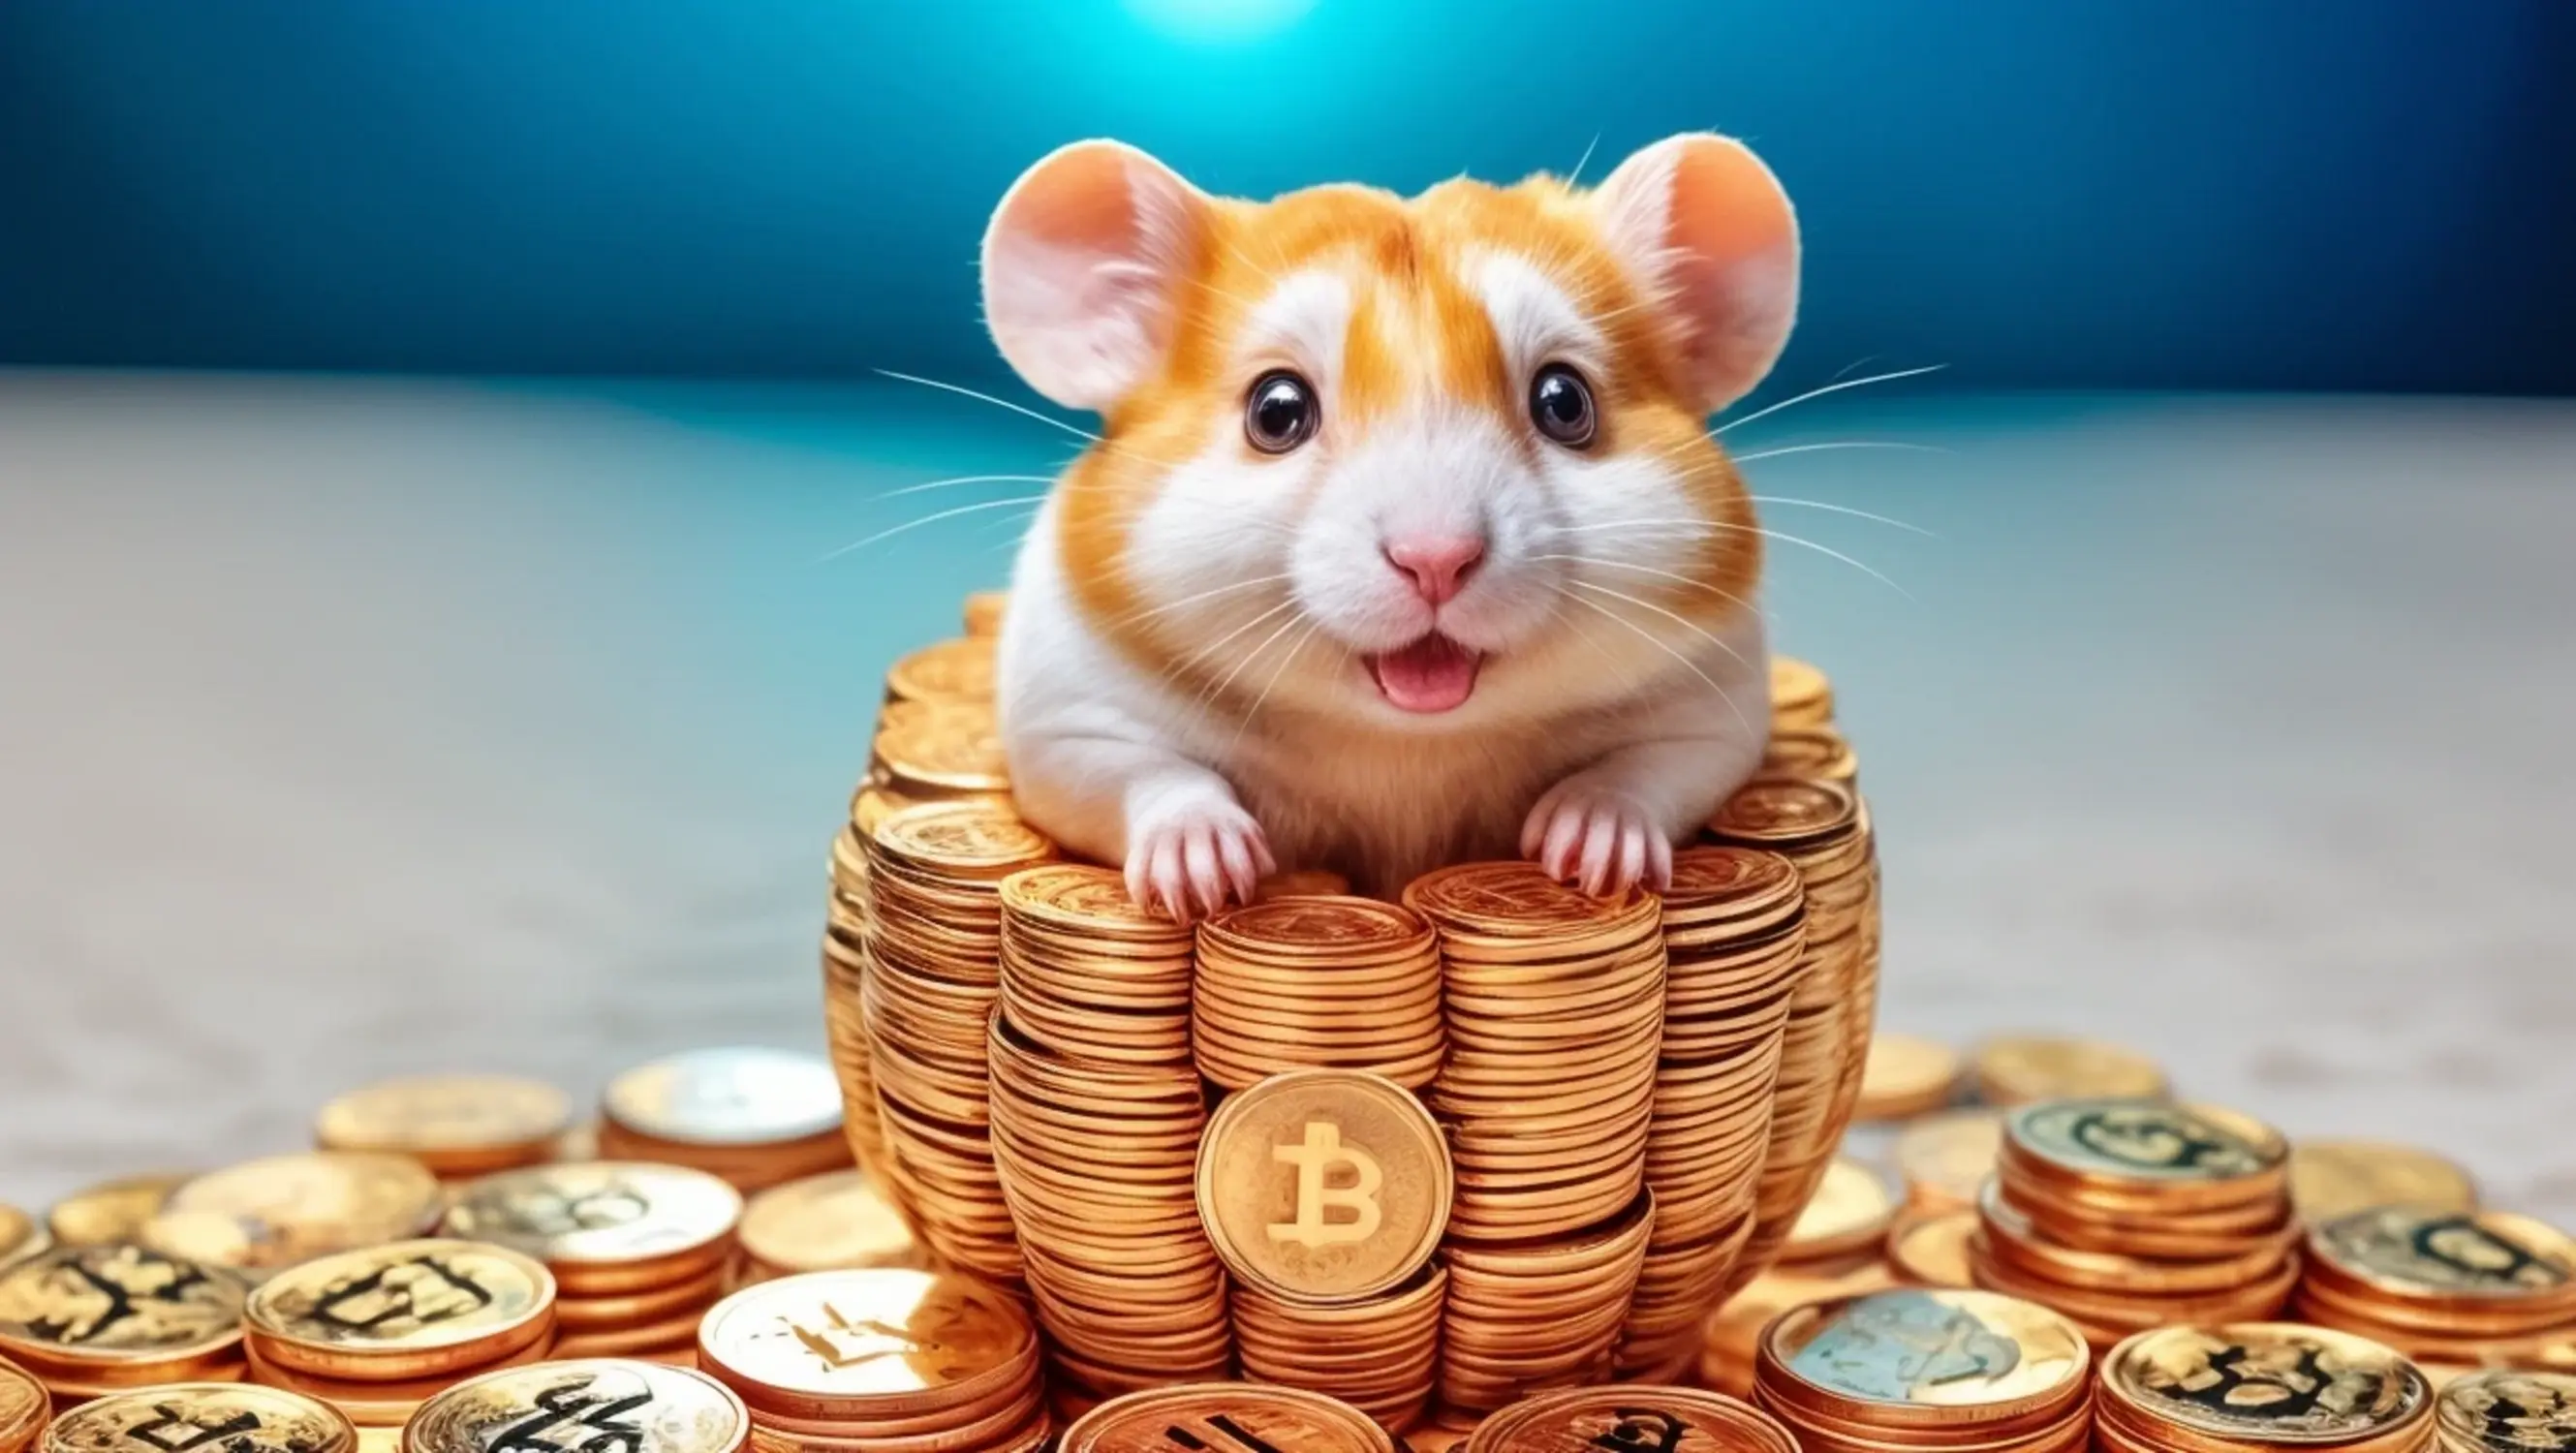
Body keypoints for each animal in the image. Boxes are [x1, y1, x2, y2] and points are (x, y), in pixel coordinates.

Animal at [980, 133, 1797, 917]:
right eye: (1275, 411)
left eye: (1565, 402)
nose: (1435, 561)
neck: (1401, 738)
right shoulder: (1068, 718)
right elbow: (1140, 773)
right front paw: (1205, 874)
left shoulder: (1710, 706)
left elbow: (1652, 769)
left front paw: (1593, 850)